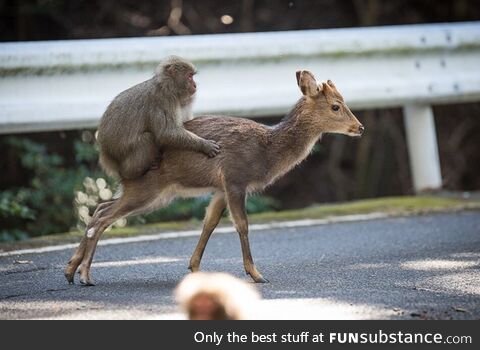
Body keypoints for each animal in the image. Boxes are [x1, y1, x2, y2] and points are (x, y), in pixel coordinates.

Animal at [63, 69, 364, 286]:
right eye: (336, 106)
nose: (360, 127)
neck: (266, 151)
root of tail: (118, 164)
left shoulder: (219, 188)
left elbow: (209, 223)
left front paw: (194, 268)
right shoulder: (235, 178)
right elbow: (242, 224)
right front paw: (256, 274)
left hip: (151, 192)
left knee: (100, 208)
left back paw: (70, 270)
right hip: (148, 188)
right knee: (103, 216)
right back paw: (86, 275)